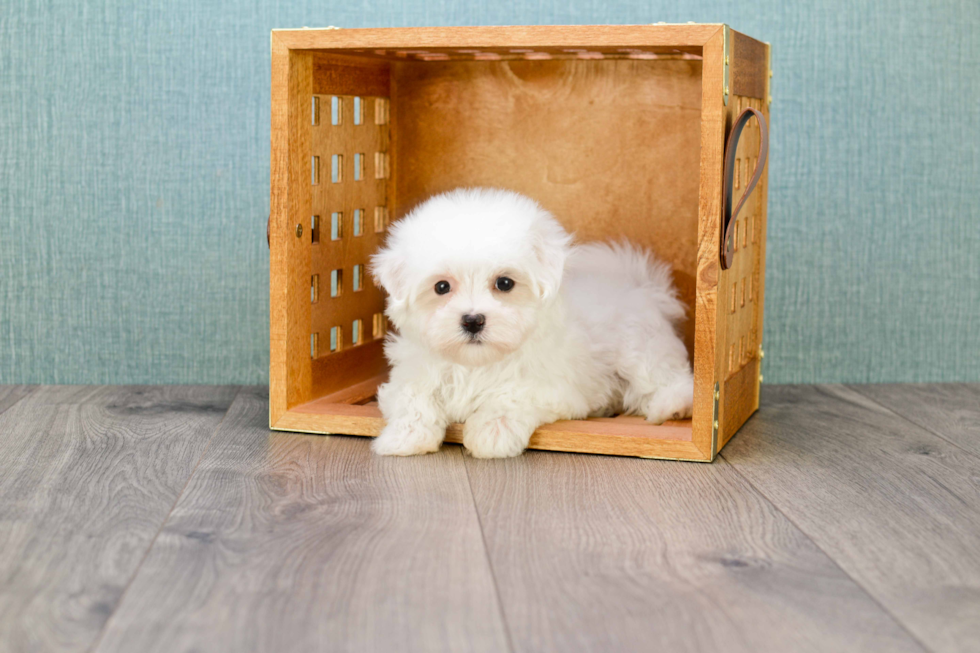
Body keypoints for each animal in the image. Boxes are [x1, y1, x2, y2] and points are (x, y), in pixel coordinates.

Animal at [372, 186, 692, 456]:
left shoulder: (553, 388)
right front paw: (404, 437)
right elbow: (412, 397)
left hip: (640, 349)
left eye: (504, 283)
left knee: (666, 379)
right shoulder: (411, 373)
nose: (473, 320)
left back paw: (675, 406)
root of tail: (641, 286)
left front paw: (492, 432)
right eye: (441, 287)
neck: (477, 364)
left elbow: (511, 396)